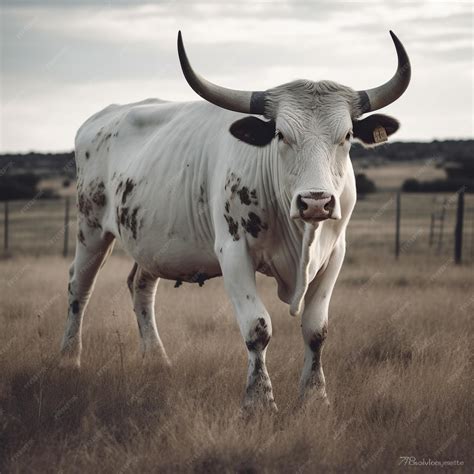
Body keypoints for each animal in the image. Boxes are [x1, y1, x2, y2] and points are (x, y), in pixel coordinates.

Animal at [61, 30, 410, 412]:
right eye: (281, 135)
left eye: (346, 136)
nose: (315, 201)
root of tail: (100, 118)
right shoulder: (233, 253)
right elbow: (257, 327)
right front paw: (259, 401)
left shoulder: (334, 254)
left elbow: (316, 329)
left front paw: (315, 397)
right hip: (90, 228)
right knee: (80, 286)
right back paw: (69, 360)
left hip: (151, 241)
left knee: (140, 286)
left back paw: (157, 360)